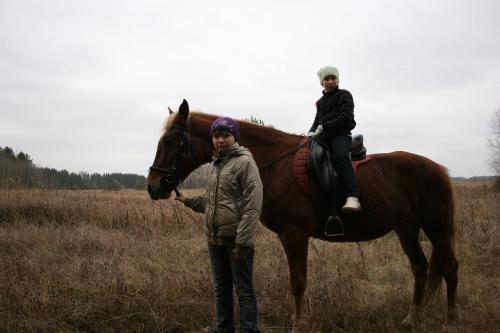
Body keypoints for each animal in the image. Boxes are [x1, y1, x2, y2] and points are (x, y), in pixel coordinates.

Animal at [146, 99, 458, 330]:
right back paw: (412, 318)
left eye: (171, 140)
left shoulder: (296, 233)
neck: (274, 164)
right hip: (407, 228)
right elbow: (297, 280)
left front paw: (298, 325)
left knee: (450, 268)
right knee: (420, 268)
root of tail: (440, 169)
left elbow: (298, 281)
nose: (153, 186)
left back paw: (450, 320)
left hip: (437, 229)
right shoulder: (287, 236)